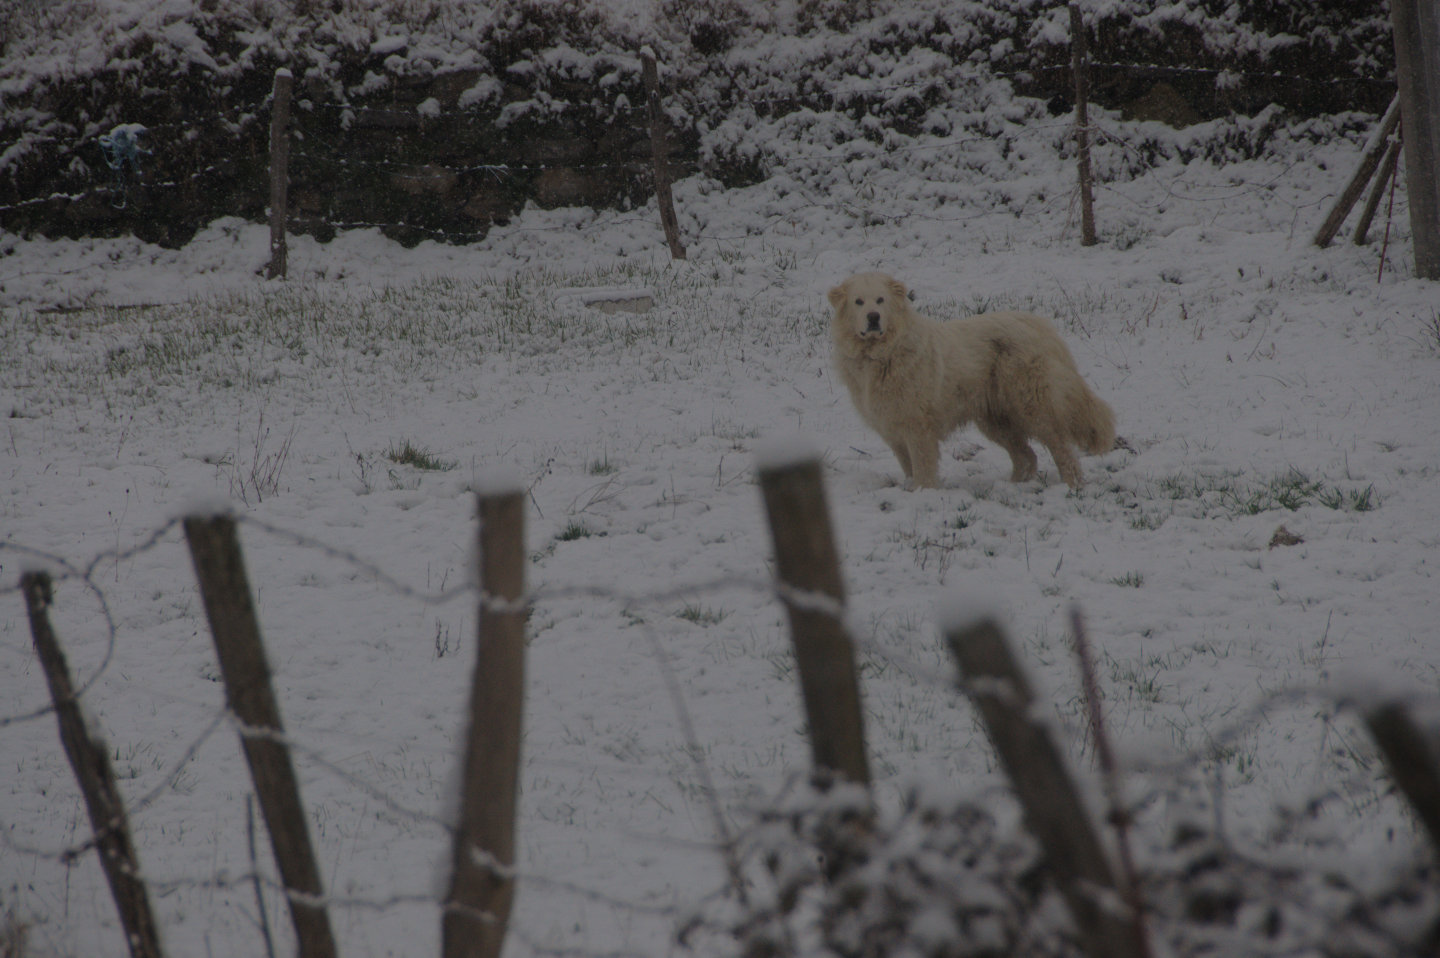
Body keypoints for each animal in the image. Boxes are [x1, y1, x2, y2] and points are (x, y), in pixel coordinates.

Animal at [829, 275, 1117, 486]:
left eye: (880, 300)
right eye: (858, 302)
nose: (873, 317)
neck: (881, 353)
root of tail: (1039, 325)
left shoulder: (917, 427)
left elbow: (922, 467)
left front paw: (923, 493)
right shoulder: (893, 429)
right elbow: (908, 466)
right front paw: (911, 490)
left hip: (1033, 408)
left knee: (1062, 449)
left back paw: (1072, 486)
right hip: (997, 421)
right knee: (1027, 456)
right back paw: (1013, 486)